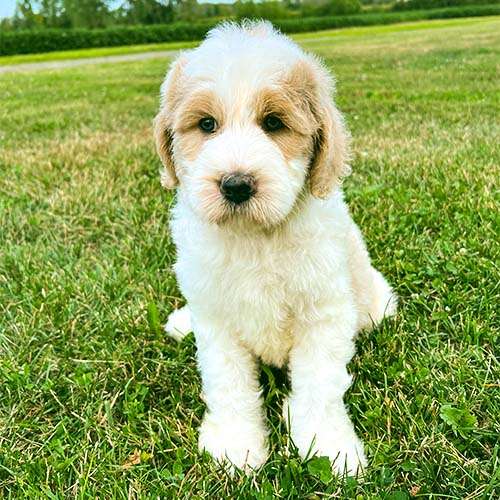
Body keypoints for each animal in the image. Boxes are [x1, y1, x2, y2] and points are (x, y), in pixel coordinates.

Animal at [154, 21, 396, 476]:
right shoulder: (216, 317)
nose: (235, 184)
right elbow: (228, 383)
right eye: (207, 124)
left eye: (274, 123)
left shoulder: (323, 314)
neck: (255, 237)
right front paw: (235, 443)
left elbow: (319, 387)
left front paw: (329, 448)